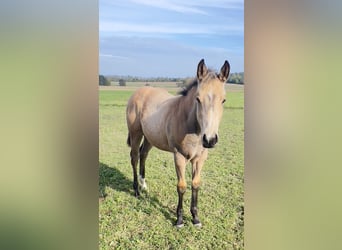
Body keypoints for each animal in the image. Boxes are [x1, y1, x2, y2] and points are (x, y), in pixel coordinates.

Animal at [125, 59, 230, 229]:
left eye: (223, 100)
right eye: (198, 99)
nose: (209, 140)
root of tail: (139, 92)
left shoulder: (200, 158)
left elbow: (195, 184)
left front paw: (195, 218)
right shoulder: (179, 156)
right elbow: (182, 186)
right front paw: (179, 220)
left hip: (150, 137)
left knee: (143, 154)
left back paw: (143, 185)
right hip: (136, 133)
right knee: (134, 157)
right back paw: (136, 191)